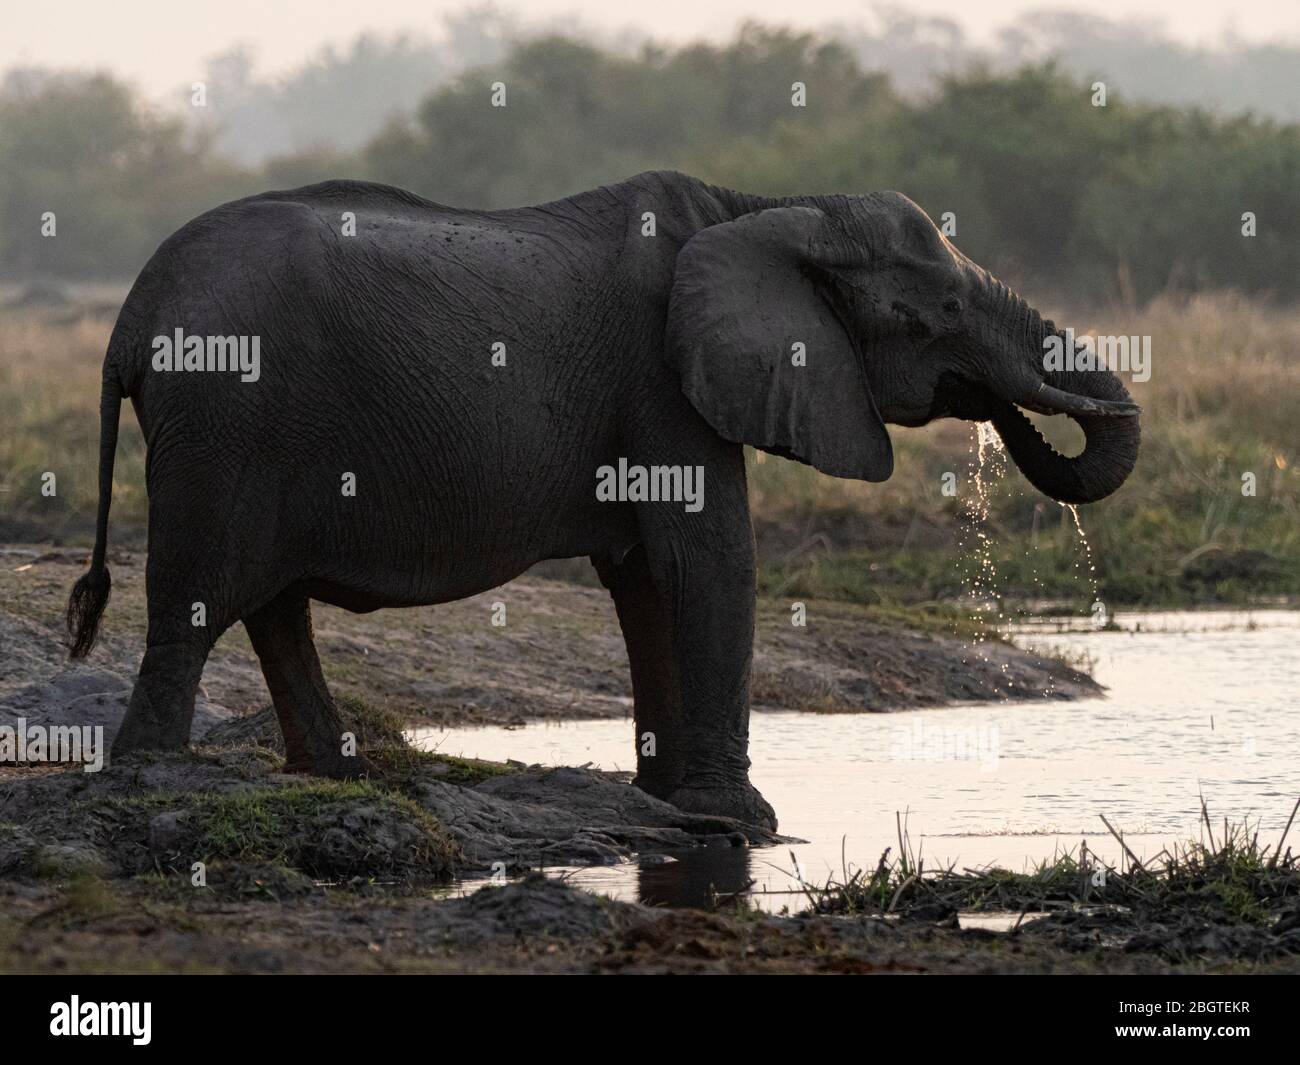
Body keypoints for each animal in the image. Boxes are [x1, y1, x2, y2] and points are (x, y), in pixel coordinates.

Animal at [68, 169, 1138, 832]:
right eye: (940, 312)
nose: (1015, 412)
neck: (769, 210)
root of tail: (129, 319)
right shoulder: (664, 383)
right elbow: (709, 562)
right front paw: (746, 820)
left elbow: (645, 577)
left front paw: (666, 801)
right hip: (227, 415)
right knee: (196, 601)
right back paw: (155, 775)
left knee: (268, 603)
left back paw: (335, 774)